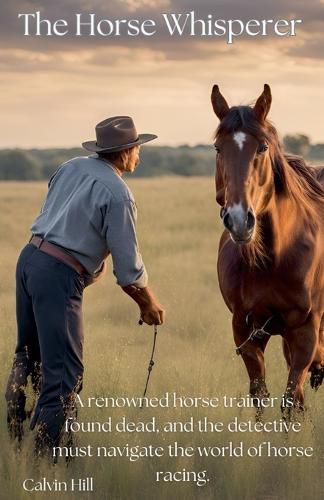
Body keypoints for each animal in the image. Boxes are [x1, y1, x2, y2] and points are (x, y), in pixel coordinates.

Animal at [211, 85, 324, 414]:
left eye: (261, 148)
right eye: (218, 149)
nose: (238, 220)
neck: (272, 258)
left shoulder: (305, 331)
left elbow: (291, 400)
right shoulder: (245, 329)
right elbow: (260, 395)